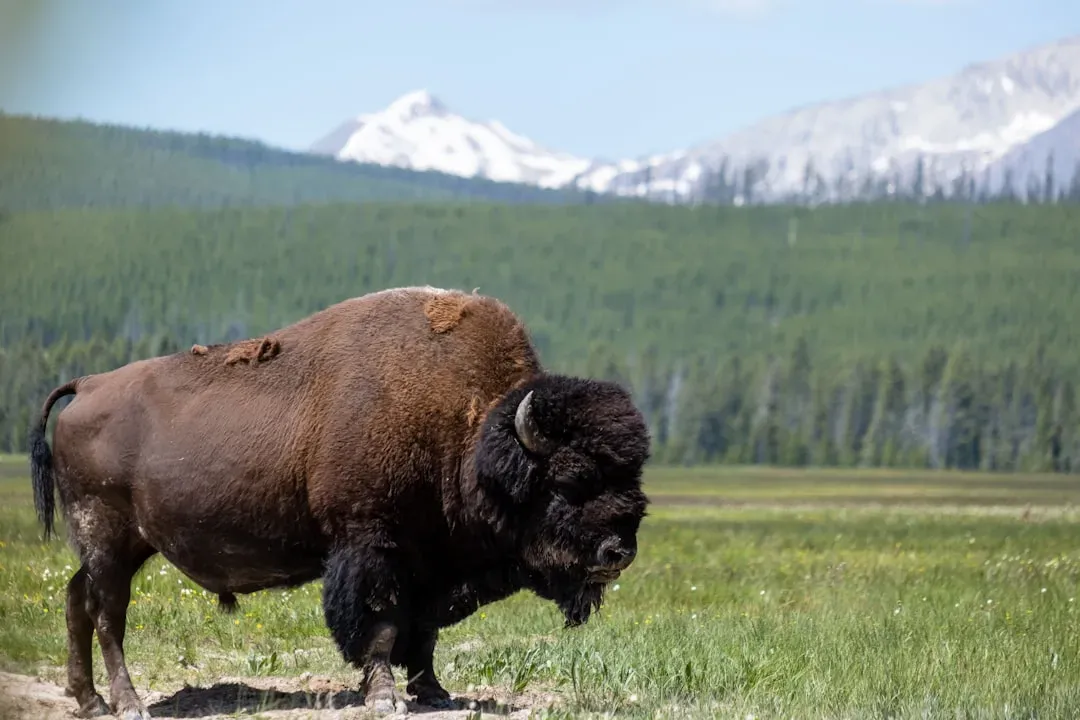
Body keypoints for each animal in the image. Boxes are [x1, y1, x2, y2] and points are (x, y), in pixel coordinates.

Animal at [29, 286, 651, 719]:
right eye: (569, 481)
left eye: (634, 476)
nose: (618, 552)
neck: (470, 435)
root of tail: (87, 386)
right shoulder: (371, 546)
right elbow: (381, 626)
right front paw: (384, 697)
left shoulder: (432, 564)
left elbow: (424, 631)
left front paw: (433, 692)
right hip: (106, 535)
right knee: (108, 615)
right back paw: (128, 703)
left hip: (122, 545)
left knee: (77, 599)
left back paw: (89, 701)